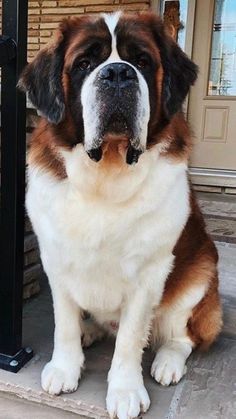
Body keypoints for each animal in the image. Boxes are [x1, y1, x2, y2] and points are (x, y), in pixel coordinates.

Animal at [19, 11, 222, 419]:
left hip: (201, 272)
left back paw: (167, 362)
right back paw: (90, 332)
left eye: (142, 62)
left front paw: (126, 390)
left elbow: (130, 338)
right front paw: (65, 367)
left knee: (183, 336)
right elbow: (63, 322)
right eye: (84, 64)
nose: (117, 74)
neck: (106, 174)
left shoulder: (150, 272)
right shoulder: (55, 258)